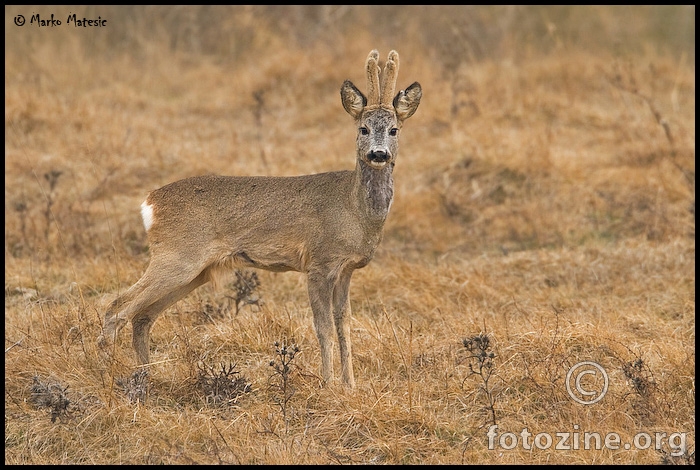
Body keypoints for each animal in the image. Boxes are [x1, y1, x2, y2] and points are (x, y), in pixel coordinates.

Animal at [98, 49, 422, 388]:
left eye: (394, 129)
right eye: (363, 129)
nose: (378, 154)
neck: (354, 210)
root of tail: (149, 203)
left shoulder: (346, 269)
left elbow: (343, 324)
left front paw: (350, 386)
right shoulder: (319, 263)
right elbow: (323, 328)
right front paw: (328, 384)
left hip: (195, 271)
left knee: (142, 316)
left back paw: (146, 375)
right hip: (176, 257)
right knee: (116, 308)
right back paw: (109, 375)